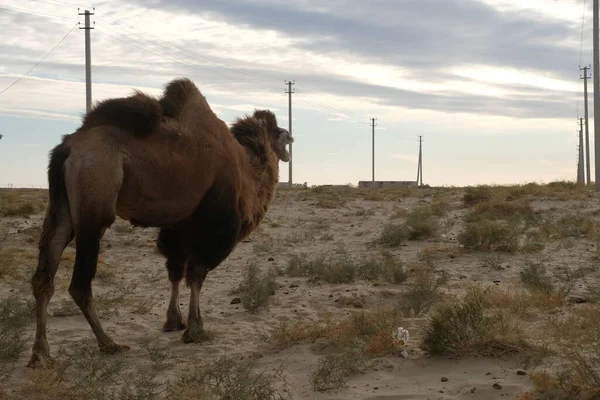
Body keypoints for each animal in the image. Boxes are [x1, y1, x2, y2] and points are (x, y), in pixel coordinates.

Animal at [27, 76, 294, 368]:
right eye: (279, 132)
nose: (291, 138)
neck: (246, 172)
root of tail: (69, 148)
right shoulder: (212, 223)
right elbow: (196, 274)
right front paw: (195, 328)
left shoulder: (178, 223)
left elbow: (175, 271)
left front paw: (173, 320)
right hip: (95, 192)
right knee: (79, 283)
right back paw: (108, 343)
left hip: (61, 207)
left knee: (44, 275)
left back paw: (40, 353)